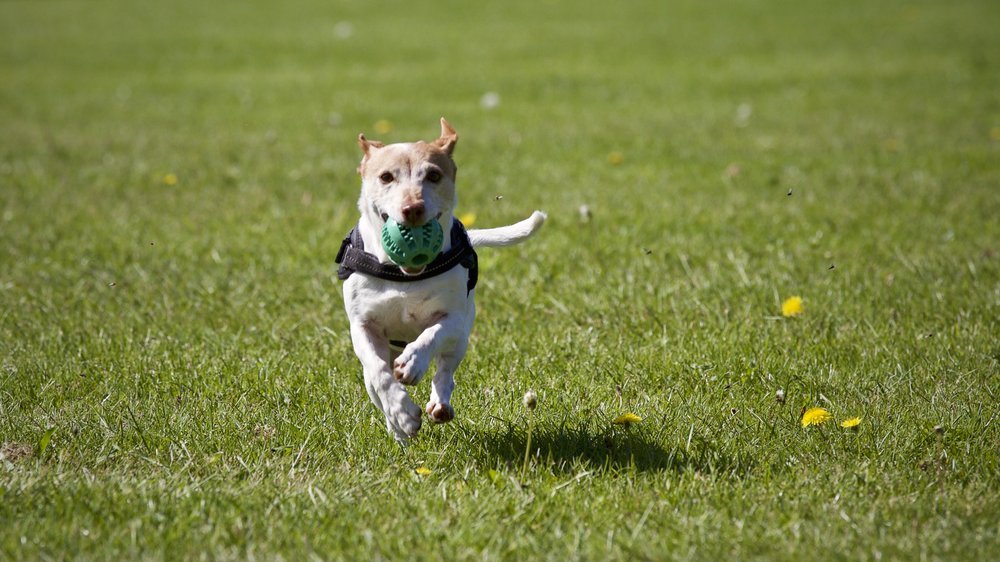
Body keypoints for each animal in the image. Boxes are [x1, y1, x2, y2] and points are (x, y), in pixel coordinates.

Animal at [336, 118, 544, 442]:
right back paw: (397, 430)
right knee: (376, 384)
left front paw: (413, 362)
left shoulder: (454, 318)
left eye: (433, 175)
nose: (412, 208)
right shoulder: (362, 326)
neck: (404, 275)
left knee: (445, 369)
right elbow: (381, 374)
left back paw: (439, 403)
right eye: (386, 177)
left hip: (461, 339)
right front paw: (403, 413)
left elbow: (432, 335)